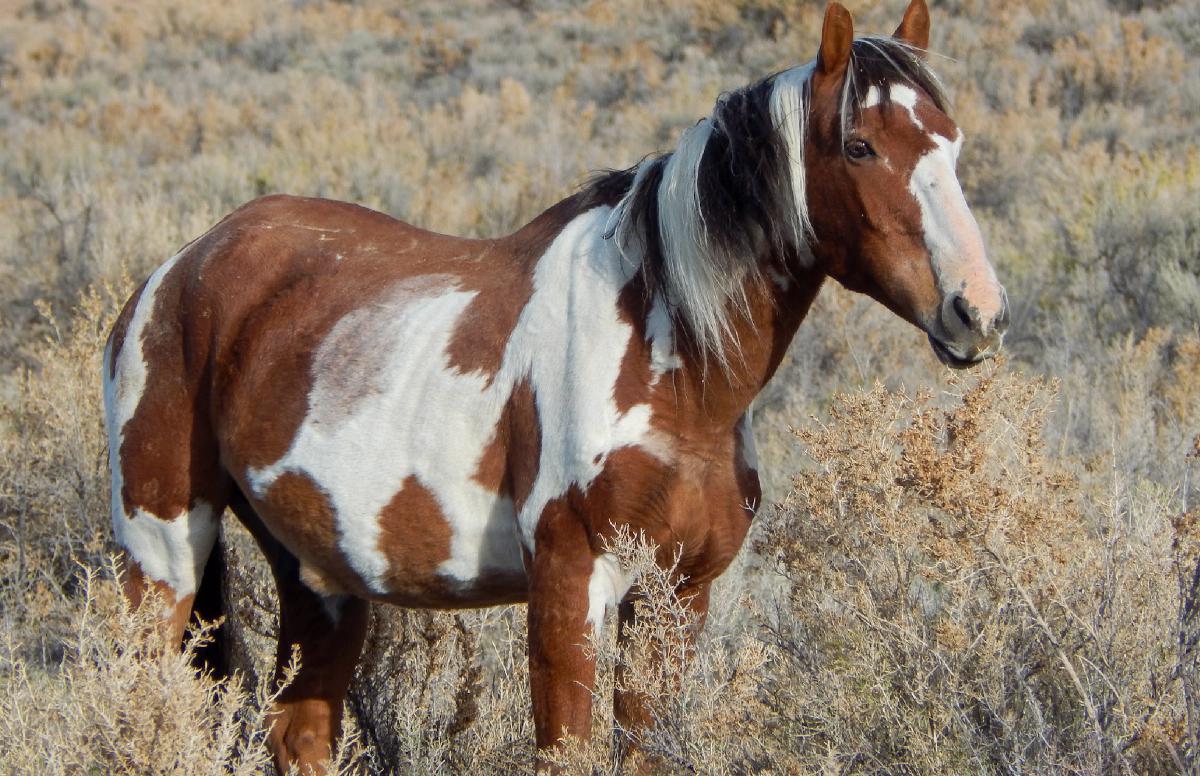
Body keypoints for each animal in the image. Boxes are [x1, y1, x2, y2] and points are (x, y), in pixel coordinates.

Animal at [103, 1, 1008, 772]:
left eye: (954, 143)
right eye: (859, 147)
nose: (978, 311)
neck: (673, 364)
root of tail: (179, 269)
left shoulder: (678, 596)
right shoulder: (571, 588)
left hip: (317, 577)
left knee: (295, 729)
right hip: (162, 558)